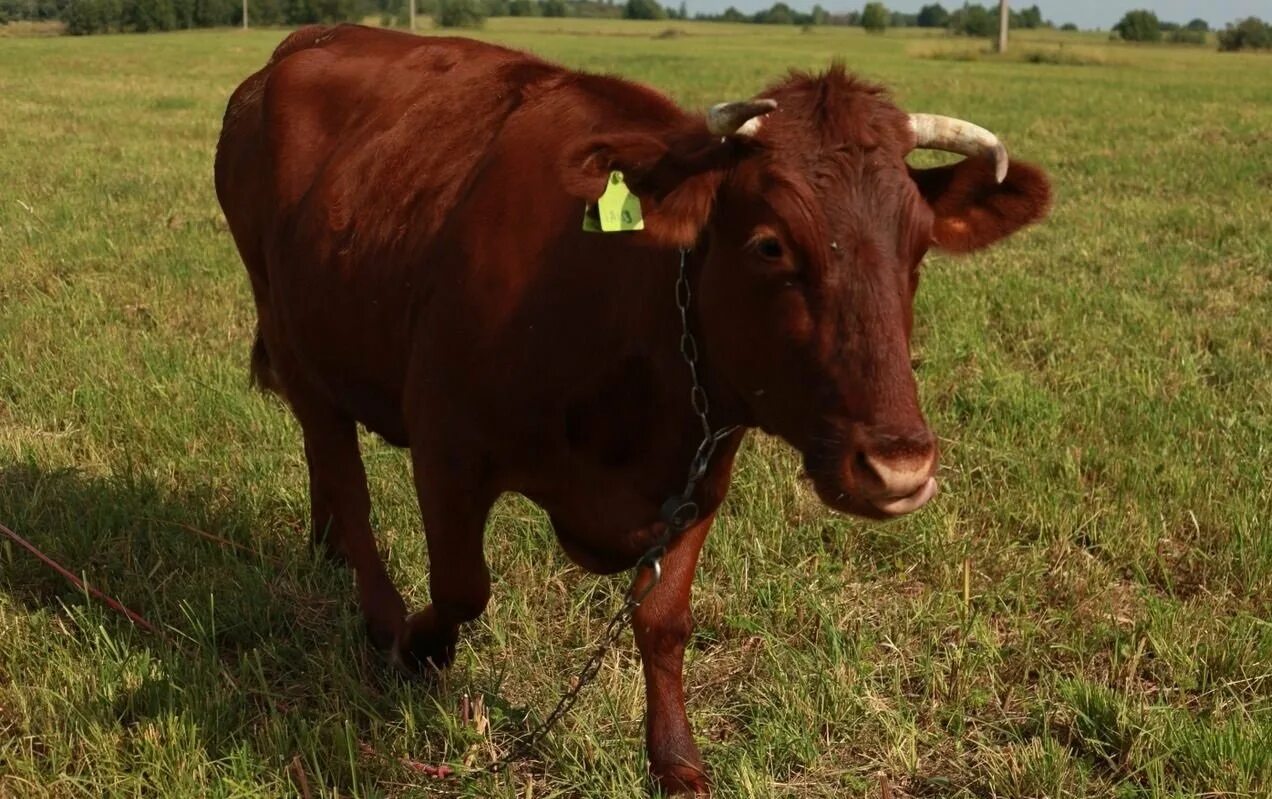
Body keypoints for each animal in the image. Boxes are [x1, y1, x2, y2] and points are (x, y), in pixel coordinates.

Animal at [216, 23, 1053, 793]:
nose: (899, 465)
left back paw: (325, 546)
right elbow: (461, 584)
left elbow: (663, 622)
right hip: (290, 330)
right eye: (770, 245)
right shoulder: (447, 443)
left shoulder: (700, 473)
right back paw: (379, 612)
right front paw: (420, 645)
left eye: (918, 248)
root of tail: (304, 43)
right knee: (344, 473)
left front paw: (676, 759)